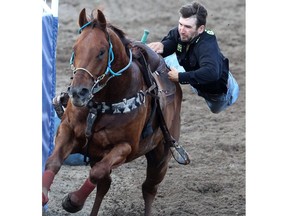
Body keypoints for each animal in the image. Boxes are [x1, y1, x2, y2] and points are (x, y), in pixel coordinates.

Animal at [42, 7, 183, 215]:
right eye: (75, 49)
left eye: (101, 52)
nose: (78, 92)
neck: (99, 106)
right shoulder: (68, 131)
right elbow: (53, 162)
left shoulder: (125, 147)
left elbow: (97, 172)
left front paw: (73, 201)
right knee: (104, 185)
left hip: (161, 156)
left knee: (149, 188)